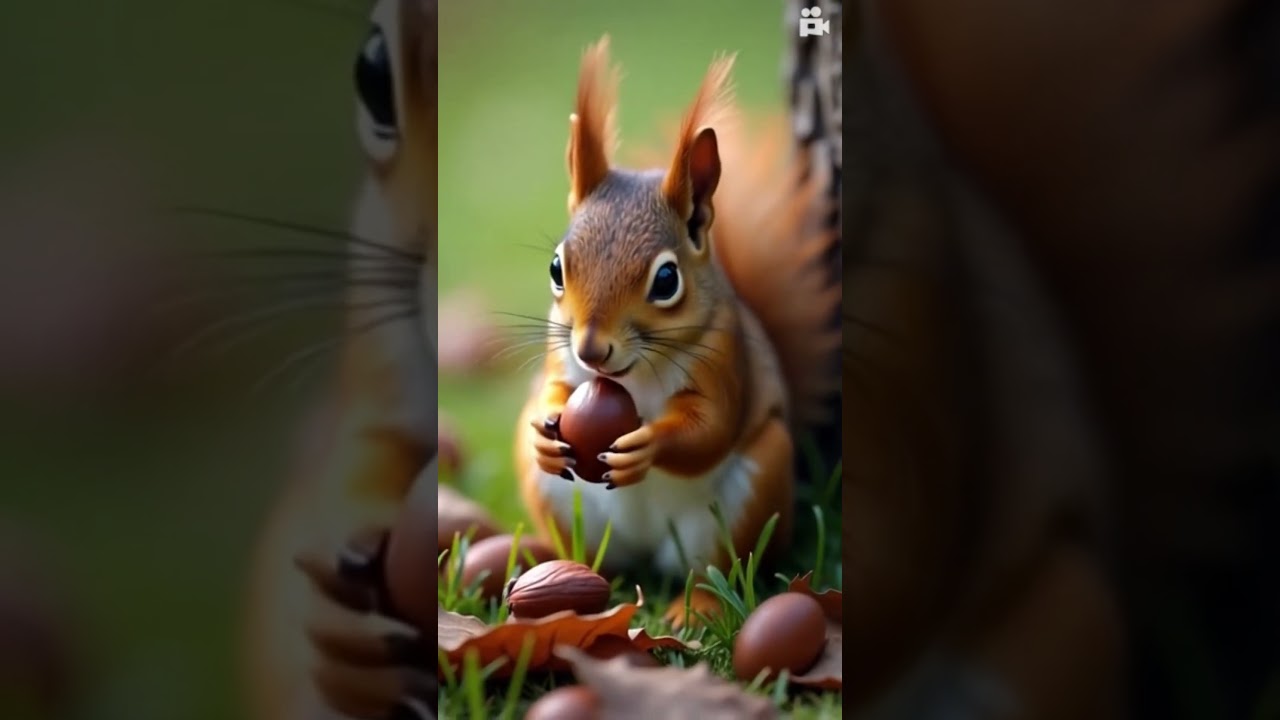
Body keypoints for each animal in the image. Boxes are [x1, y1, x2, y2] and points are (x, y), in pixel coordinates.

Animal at [515, 37, 841, 626]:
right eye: (556, 268)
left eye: (666, 280)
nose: (592, 349)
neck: (632, 375)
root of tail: (646, 550)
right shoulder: (561, 354)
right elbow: (554, 389)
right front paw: (543, 427)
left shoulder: (726, 358)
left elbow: (710, 428)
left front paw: (648, 442)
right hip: (560, 504)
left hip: (750, 492)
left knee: (716, 568)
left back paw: (696, 609)